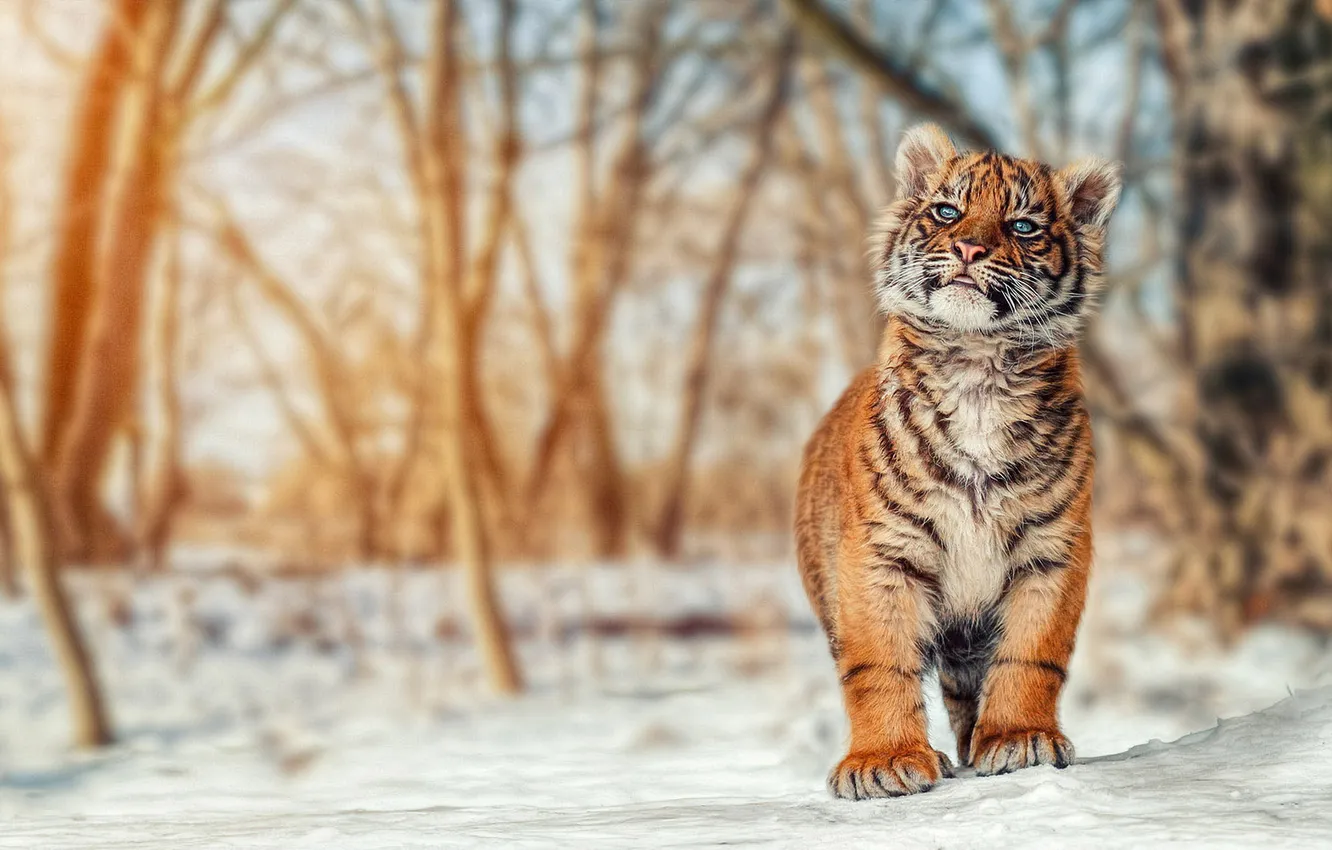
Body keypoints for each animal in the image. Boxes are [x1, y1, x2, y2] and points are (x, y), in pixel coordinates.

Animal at [794, 123, 1121, 800]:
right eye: (948, 212)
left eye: (1022, 226)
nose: (970, 247)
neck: (976, 366)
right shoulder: (881, 553)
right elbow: (879, 664)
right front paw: (884, 762)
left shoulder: (1053, 549)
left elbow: (1031, 655)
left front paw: (1020, 740)